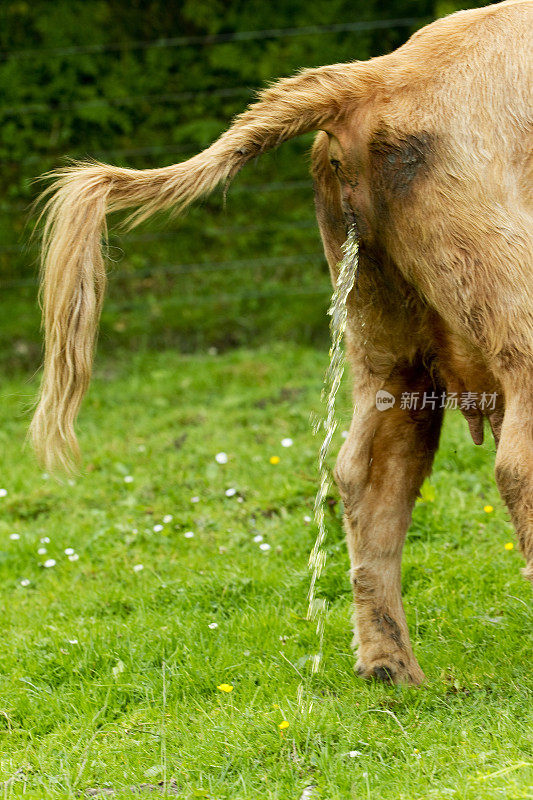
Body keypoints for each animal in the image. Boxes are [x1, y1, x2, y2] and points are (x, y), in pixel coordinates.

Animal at [30, 1, 532, 688]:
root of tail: (379, 72)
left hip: (383, 329)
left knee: (369, 470)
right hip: (504, 300)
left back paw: (391, 670)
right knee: (512, 461)